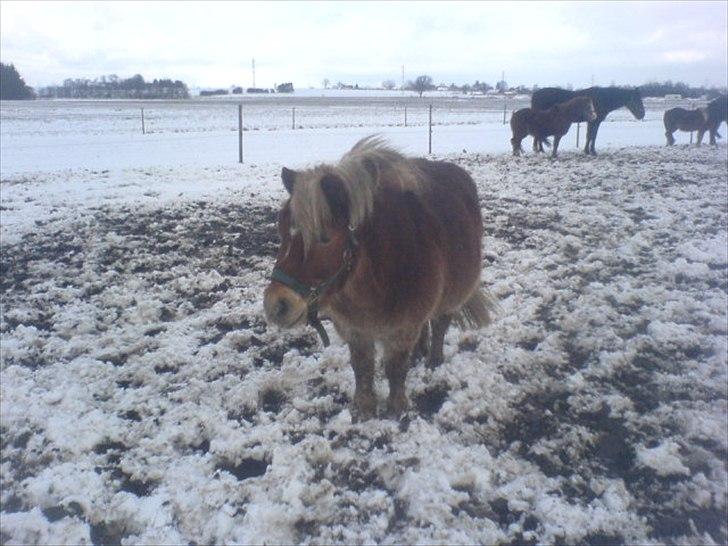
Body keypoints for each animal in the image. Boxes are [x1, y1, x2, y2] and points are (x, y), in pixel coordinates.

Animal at [262, 138, 494, 418]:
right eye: (282, 229)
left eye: (324, 238)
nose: (276, 305)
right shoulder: (354, 329)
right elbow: (362, 368)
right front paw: (364, 408)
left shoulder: (403, 329)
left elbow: (395, 368)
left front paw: (397, 408)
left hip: (451, 296)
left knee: (440, 324)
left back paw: (433, 360)